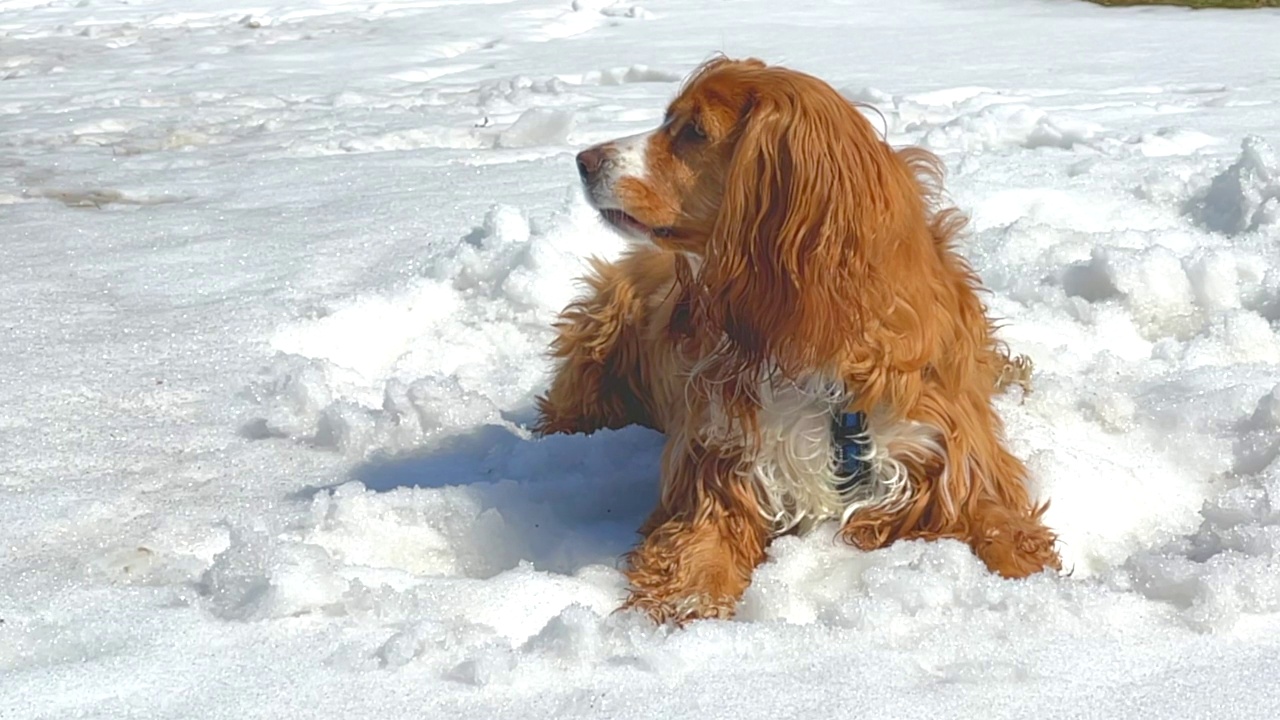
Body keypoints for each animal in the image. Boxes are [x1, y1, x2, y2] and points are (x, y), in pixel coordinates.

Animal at [532, 57, 1059, 622]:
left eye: (694, 130)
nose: (583, 159)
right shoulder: (718, 463)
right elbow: (699, 549)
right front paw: (686, 604)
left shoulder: (950, 452)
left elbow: (1001, 526)